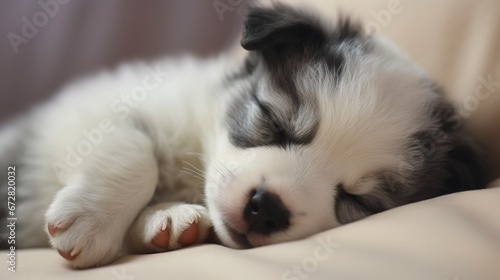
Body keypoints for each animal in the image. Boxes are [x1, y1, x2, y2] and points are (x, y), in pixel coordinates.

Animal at [0, 3, 486, 266]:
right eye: (275, 122)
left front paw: (167, 218)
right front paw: (94, 219)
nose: (265, 208)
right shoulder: (87, 104)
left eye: (357, 201)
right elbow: (133, 149)